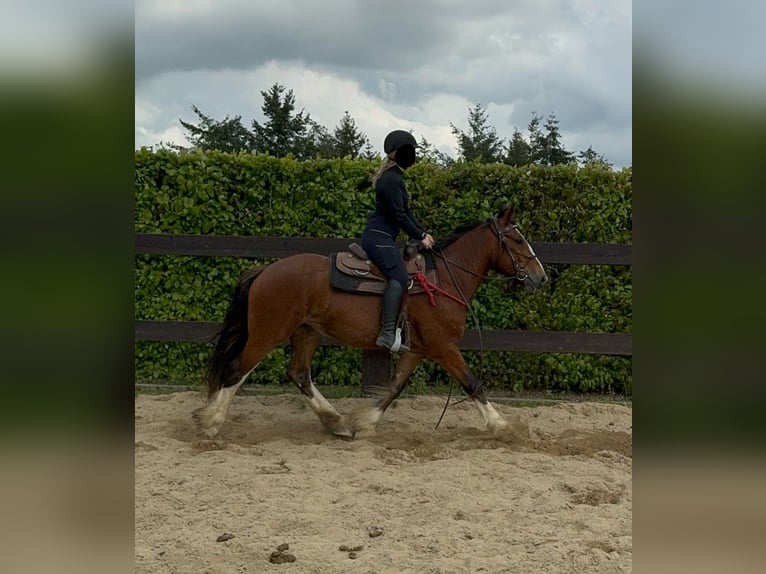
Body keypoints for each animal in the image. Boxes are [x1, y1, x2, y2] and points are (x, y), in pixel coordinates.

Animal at [195, 207, 548, 440]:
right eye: (518, 241)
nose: (541, 277)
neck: (444, 279)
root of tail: (265, 271)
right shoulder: (444, 347)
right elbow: (472, 383)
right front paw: (503, 426)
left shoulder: (418, 349)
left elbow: (395, 387)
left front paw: (365, 422)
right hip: (269, 332)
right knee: (237, 370)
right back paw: (211, 422)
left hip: (305, 333)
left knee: (299, 375)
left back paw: (335, 422)